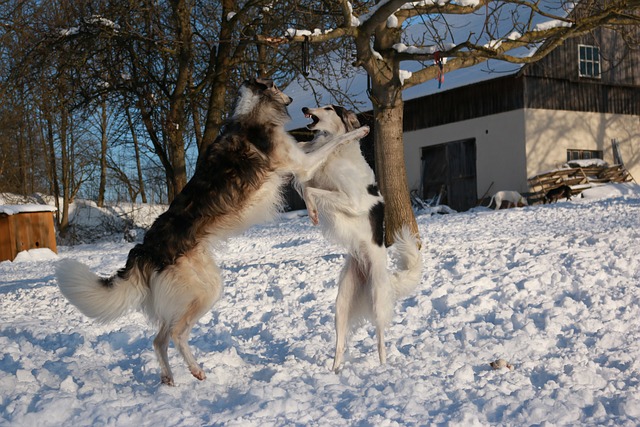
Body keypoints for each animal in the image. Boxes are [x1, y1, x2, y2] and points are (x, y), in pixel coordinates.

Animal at [57, 78, 368, 386]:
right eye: (277, 86)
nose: (297, 102)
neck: (251, 115)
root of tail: (146, 249)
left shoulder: (299, 158)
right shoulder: (300, 162)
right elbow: (334, 141)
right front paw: (360, 130)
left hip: (192, 290)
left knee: (158, 339)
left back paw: (169, 378)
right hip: (203, 292)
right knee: (176, 334)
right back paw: (196, 370)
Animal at [302, 105, 424, 372]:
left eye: (328, 108)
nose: (305, 108)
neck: (339, 153)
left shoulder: (351, 201)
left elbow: (311, 190)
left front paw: (313, 211)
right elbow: (307, 186)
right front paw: (310, 210)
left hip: (377, 300)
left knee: (381, 340)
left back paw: (383, 367)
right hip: (341, 305)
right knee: (340, 345)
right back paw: (334, 372)